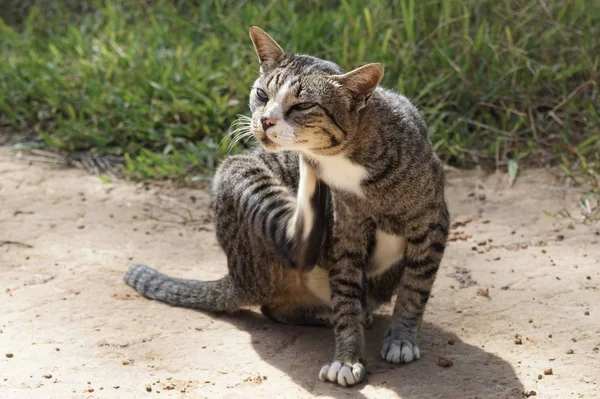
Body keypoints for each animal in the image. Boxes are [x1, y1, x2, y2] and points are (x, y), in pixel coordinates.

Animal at [124, 25, 448, 388]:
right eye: (262, 94)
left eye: (302, 105)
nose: (265, 120)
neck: (347, 160)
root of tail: (235, 277)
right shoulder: (346, 237)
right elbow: (346, 300)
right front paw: (347, 357)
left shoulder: (432, 223)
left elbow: (415, 288)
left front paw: (402, 337)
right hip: (238, 172)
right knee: (287, 277)